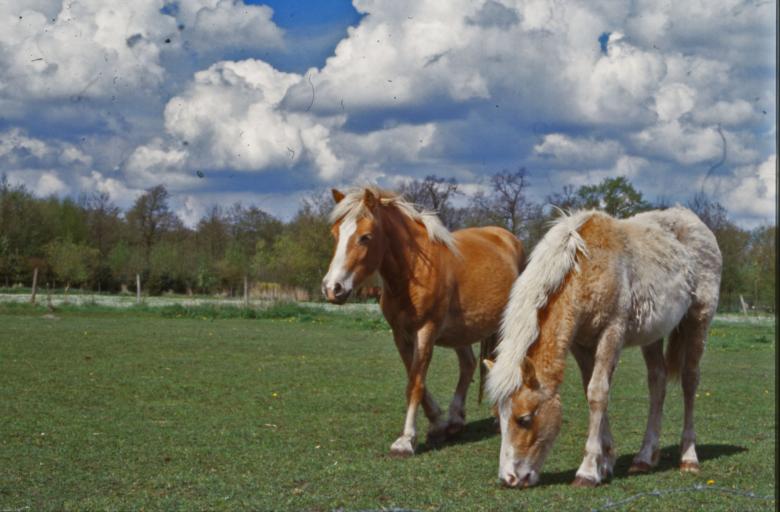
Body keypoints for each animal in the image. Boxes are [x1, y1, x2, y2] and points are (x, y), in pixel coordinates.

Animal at [323, 187, 525, 456]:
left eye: (365, 237)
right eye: (335, 234)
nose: (332, 288)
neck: (413, 271)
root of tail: (507, 237)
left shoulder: (425, 331)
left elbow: (416, 383)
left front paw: (406, 440)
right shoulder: (400, 335)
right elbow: (415, 378)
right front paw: (438, 424)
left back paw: (495, 418)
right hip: (462, 331)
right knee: (469, 364)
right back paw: (455, 420)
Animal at [484, 207, 721, 488]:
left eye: (525, 419)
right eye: (498, 418)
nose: (509, 478)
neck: (587, 267)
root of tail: (693, 220)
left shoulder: (612, 333)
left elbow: (598, 393)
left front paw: (587, 471)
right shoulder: (581, 343)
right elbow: (592, 389)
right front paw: (605, 463)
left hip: (698, 320)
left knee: (689, 381)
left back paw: (688, 458)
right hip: (652, 334)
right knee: (658, 382)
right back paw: (644, 458)